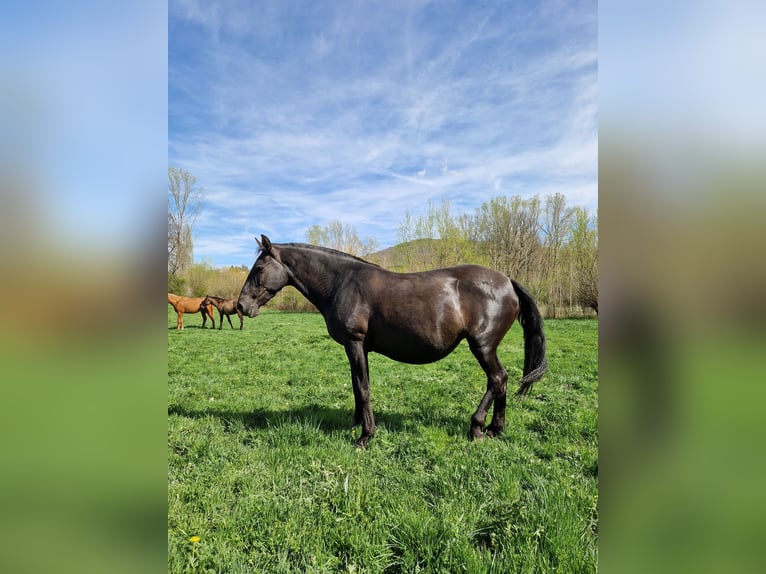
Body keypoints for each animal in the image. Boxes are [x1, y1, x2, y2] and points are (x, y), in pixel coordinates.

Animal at [237, 235, 547, 448]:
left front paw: (365, 436)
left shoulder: (355, 343)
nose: (241, 306)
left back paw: (477, 428)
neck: (343, 282)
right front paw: (356, 424)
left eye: (259, 268)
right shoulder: (356, 348)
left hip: (482, 346)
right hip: (488, 348)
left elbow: (363, 388)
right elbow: (356, 387)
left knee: (497, 379)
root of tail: (507, 281)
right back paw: (496, 429)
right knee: (502, 380)